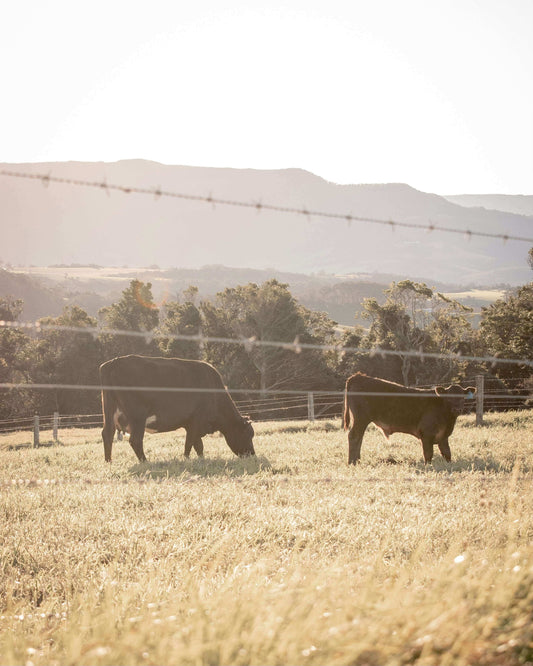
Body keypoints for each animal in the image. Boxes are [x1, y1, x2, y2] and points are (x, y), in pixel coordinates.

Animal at [100, 355, 255, 463]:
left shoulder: (191, 425)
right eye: (248, 434)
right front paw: (186, 459)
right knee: (135, 440)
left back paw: (109, 461)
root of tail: (113, 362)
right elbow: (190, 444)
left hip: (109, 411)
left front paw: (201, 459)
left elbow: (198, 445)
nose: (252, 454)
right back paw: (145, 461)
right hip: (138, 416)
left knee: (107, 434)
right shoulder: (196, 421)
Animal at [343, 372, 475, 464]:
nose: (457, 409)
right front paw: (428, 466)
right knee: (354, 436)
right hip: (361, 419)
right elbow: (428, 454)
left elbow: (447, 453)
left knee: (359, 437)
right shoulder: (426, 434)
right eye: (449, 398)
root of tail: (359, 376)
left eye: (462, 397)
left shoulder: (443, 436)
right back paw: (352, 462)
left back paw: (357, 460)